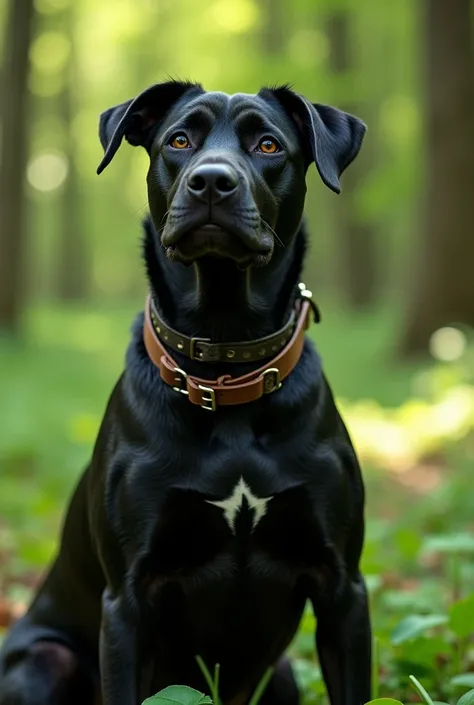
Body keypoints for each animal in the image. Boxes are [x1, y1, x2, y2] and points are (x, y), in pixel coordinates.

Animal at [0, 81, 370, 704]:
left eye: (268, 144)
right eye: (178, 140)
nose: (212, 181)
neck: (225, 366)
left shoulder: (344, 588)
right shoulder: (127, 602)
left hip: (282, 675)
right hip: (45, 661)